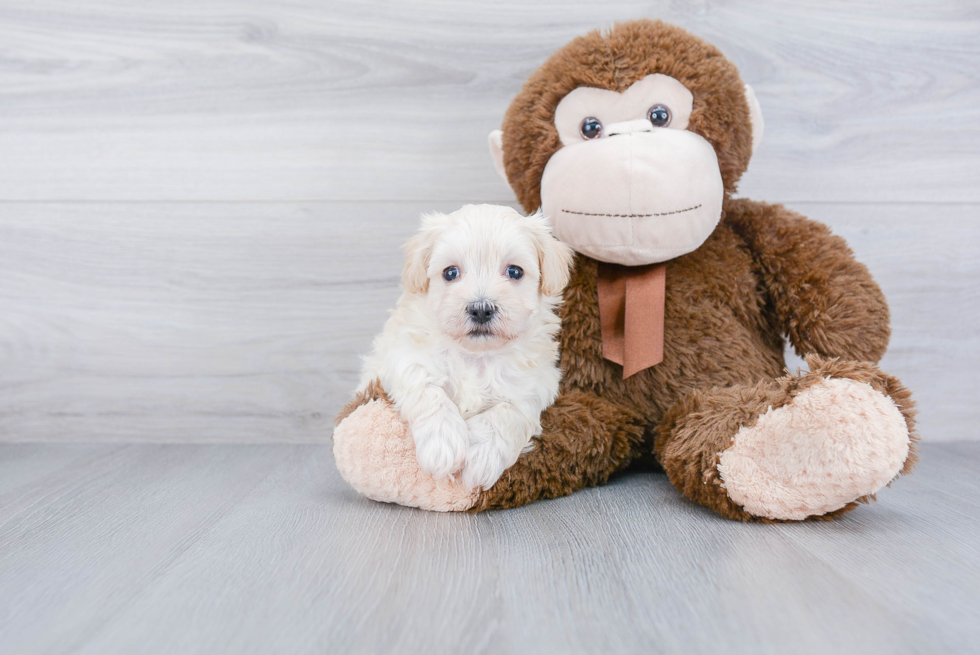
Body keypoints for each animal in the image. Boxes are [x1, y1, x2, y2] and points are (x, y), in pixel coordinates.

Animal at [360, 206, 576, 492]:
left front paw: (482, 456)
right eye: (450, 272)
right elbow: (429, 391)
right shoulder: (405, 358)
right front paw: (443, 444)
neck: (477, 355)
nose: (481, 309)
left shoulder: (534, 385)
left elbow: (507, 413)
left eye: (515, 272)